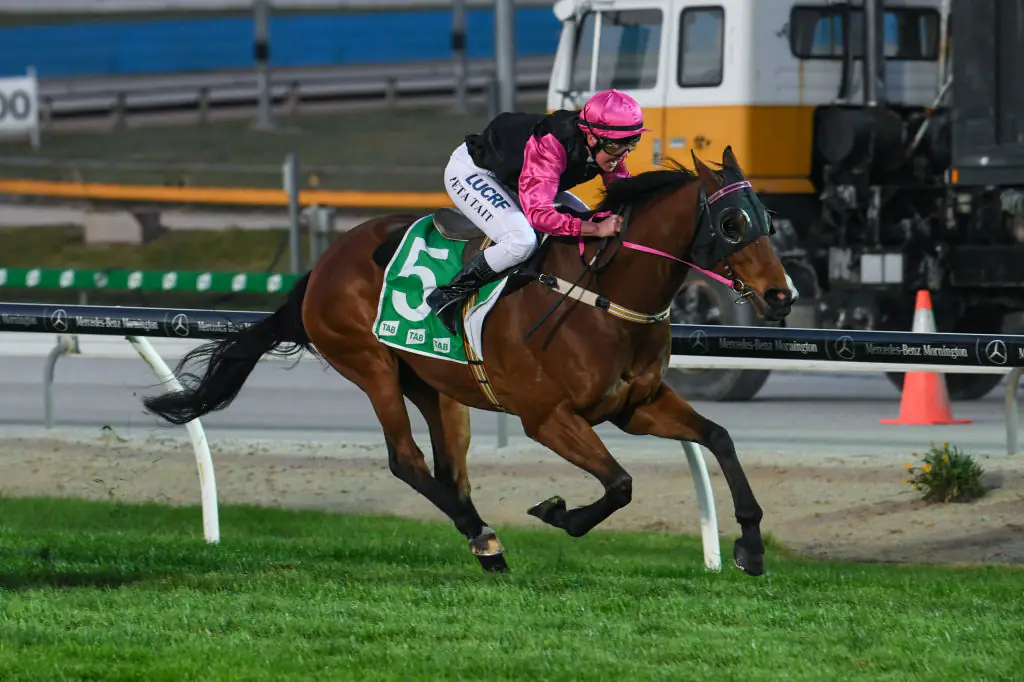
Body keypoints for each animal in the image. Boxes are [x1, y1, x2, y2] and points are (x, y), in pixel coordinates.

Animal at [142, 146, 794, 576]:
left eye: (769, 219)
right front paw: (559, 513)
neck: (605, 297)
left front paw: (750, 545)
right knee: (406, 461)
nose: (781, 296)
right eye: (731, 223)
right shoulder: (547, 418)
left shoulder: (638, 405)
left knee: (448, 467)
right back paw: (484, 534)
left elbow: (718, 438)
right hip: (371, 365)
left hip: (435, 384)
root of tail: (325, 262)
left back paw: (482, 541)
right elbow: (620, 484)